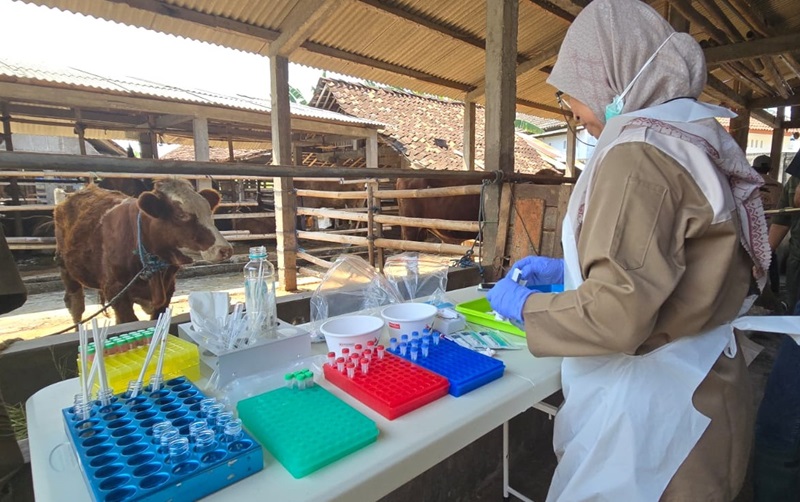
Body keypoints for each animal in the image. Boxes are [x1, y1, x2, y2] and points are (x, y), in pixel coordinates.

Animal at [54, 178, 231, 324]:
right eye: (181, 215)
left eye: (209, 212)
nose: (225, 249)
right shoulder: (116, 293)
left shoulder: (167, 292)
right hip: (67, 271)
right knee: (75, 307)